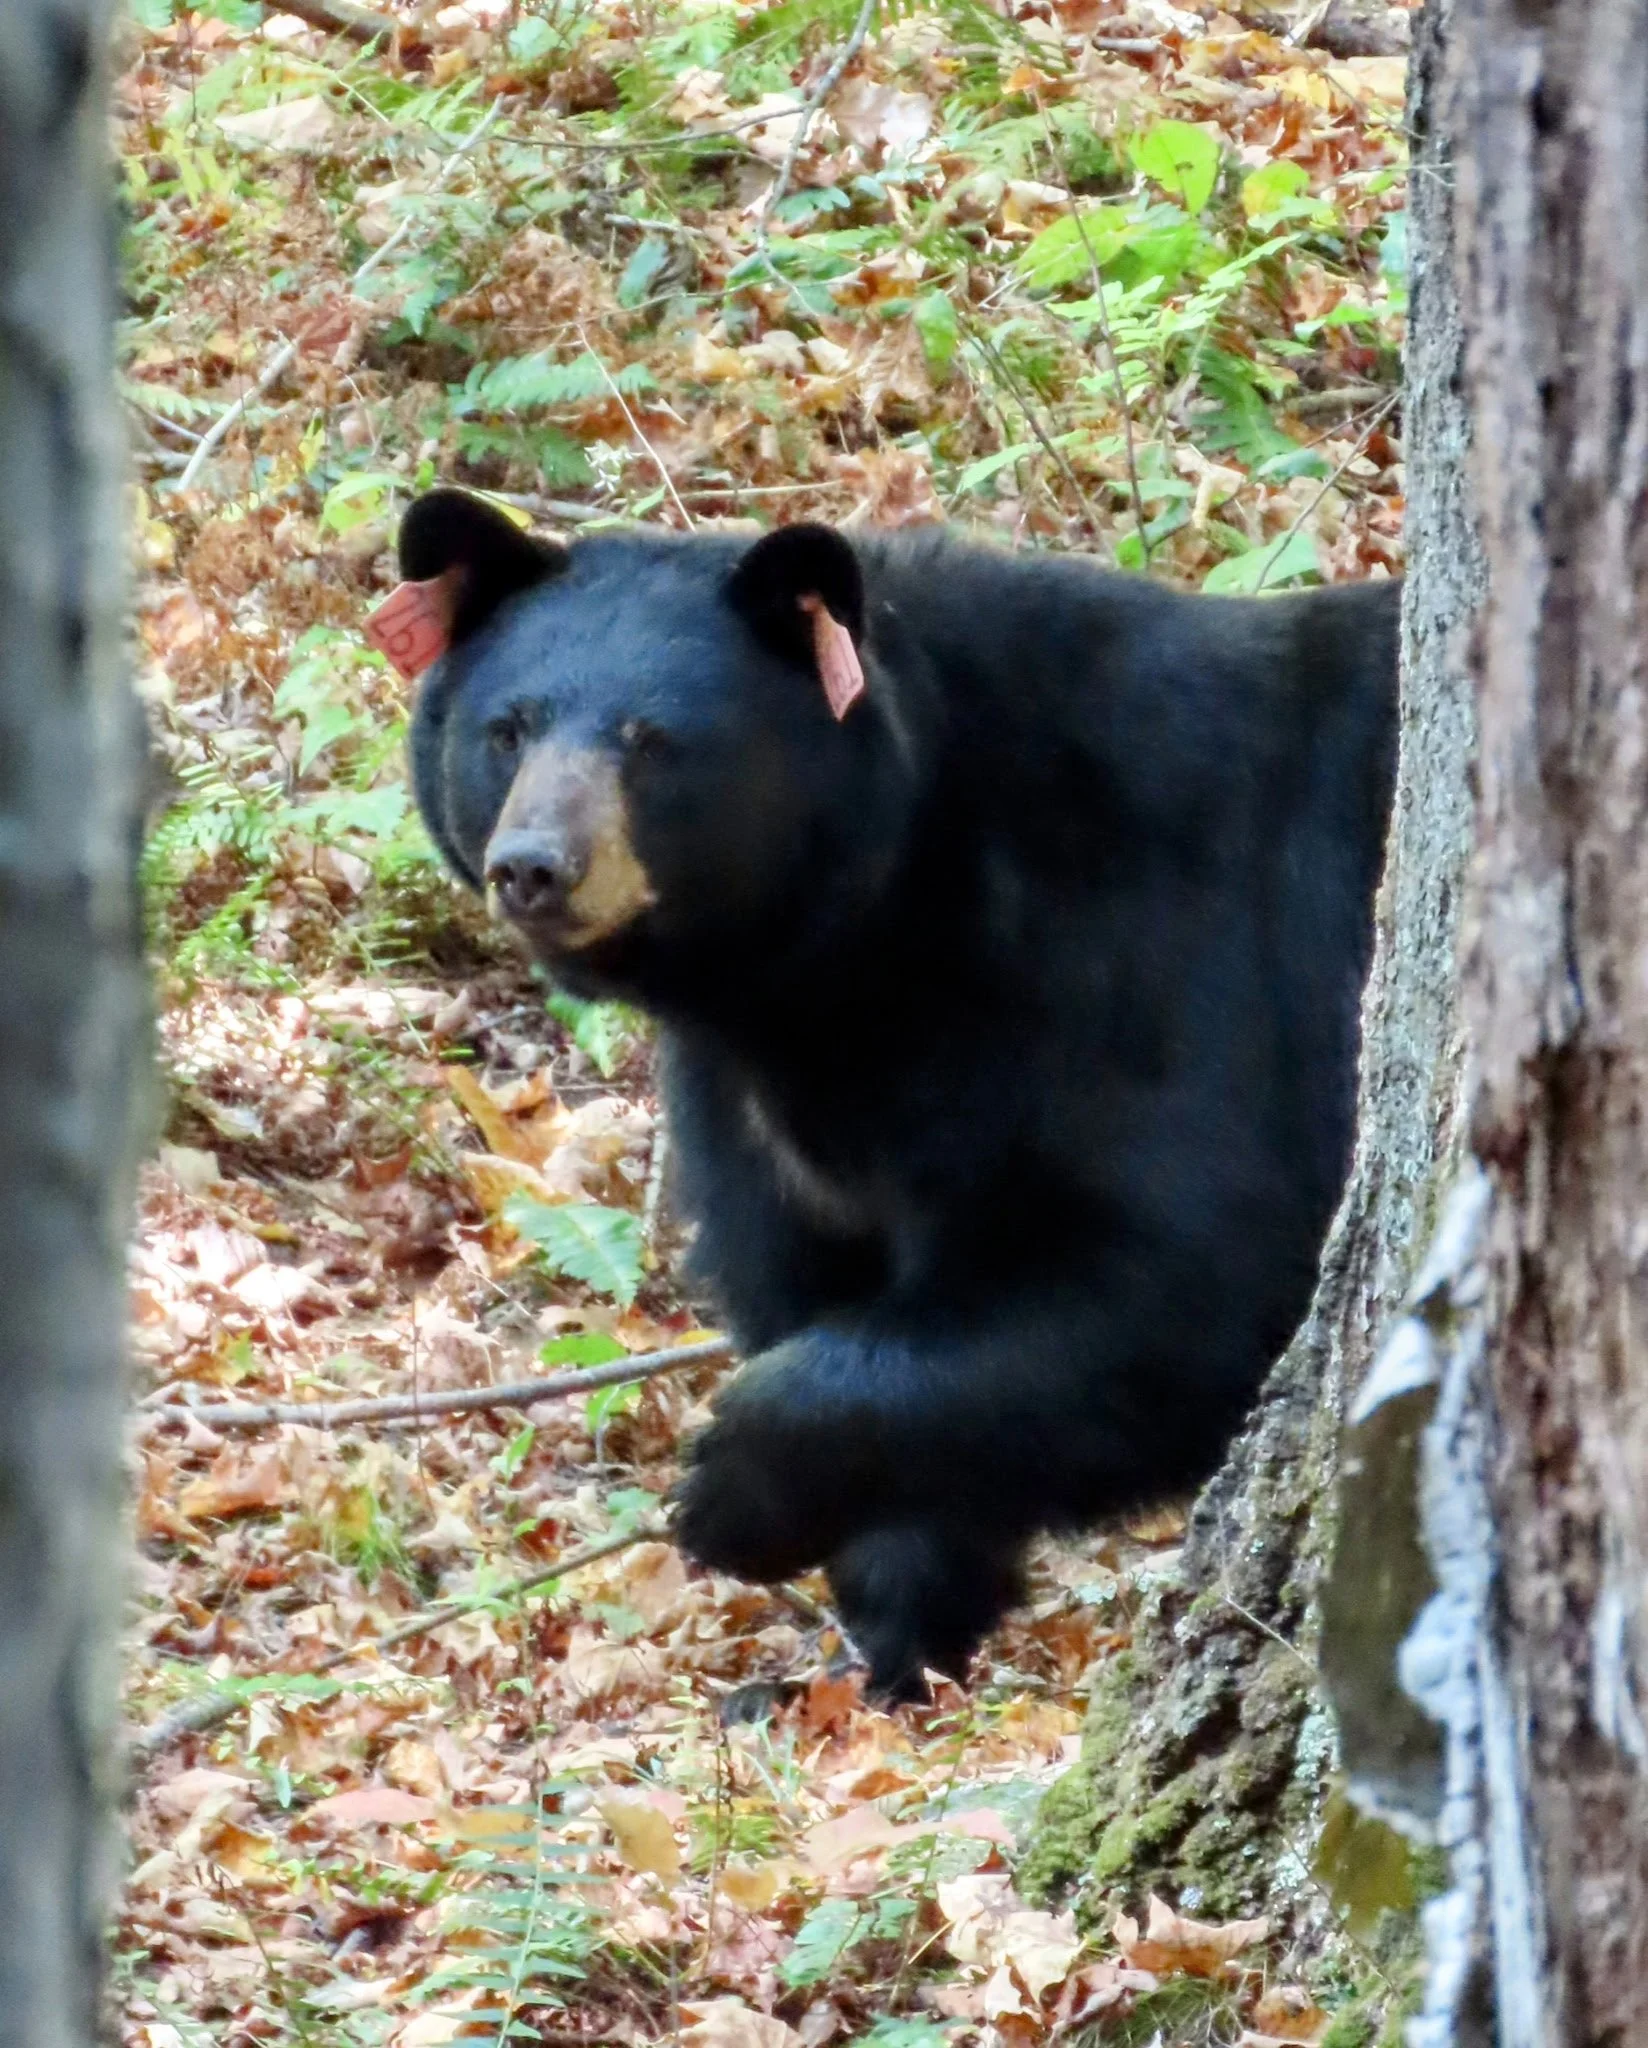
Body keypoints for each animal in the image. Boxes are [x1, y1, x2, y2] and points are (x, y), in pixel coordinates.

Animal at [395, 486, 1400, 1700]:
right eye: (508, 728)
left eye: (652, 739)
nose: (535, 866)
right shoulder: (760, 1092)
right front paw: (869, 1654)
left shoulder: (1149, 966)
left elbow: (1175, 1269)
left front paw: (733, 1487)